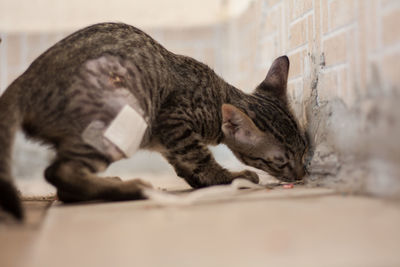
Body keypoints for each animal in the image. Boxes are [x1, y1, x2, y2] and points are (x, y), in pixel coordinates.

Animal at [0, 22, 310, 220]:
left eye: (304, 151)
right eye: (280, 161)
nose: (300, 175)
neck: (216, 97)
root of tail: (26, 80)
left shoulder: (169, 139)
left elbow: (187, 166)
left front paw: (203, 182)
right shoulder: (174, 120)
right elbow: (201, 159)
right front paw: (230, 178)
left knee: (64, 187)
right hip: (114, 124)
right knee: (59, 174)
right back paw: (130, 189)